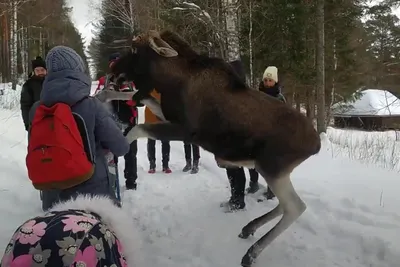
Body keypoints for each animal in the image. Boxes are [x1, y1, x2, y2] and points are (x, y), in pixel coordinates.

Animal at [110, 30, 322, 266]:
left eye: (135, 49)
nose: (113, 70)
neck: (171, 81)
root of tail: (316, 145)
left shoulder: (186, 131)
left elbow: (137, 128)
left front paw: (115, 148)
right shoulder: (167, 115)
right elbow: (138, 98)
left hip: (272, 169)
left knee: (295, 207)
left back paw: (251, 253)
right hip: (276, 172)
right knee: (284, 206)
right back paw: (249, 228)